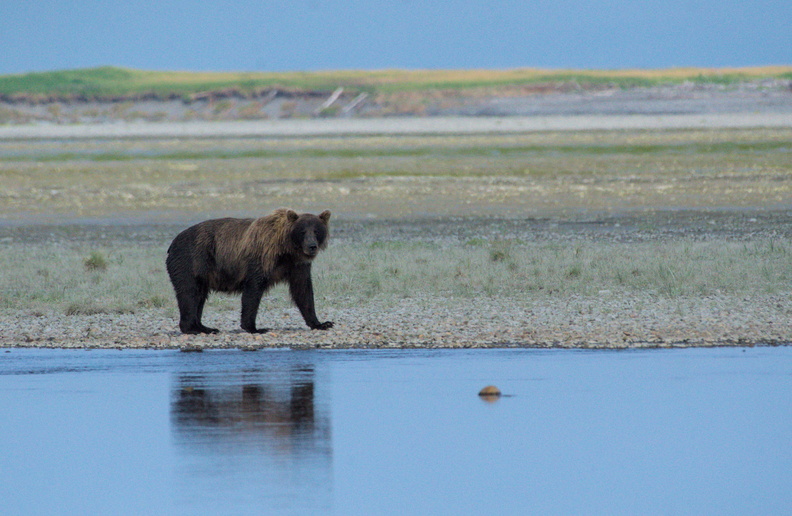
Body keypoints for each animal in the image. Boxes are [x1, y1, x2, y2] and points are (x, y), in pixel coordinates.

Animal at [166, 208, 333, 334]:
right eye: (303, 231)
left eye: (316, 231)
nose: (312, 246)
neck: (285, 250)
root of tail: (172, 243)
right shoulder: (260, 258)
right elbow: (253, 291)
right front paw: (254, 327)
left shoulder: (297, 266)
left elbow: (303, 291)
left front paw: (322, 323)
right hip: (191, 261)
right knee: (189, 293)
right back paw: (192, 328)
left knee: (200, 296)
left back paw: (205, 327)